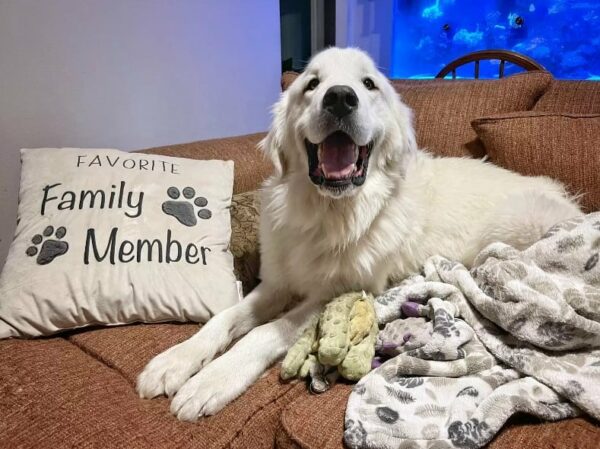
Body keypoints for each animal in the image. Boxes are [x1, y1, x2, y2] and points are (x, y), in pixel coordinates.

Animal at [137, 48, 580, 420]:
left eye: (369, 84)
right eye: (311, 84)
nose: (339, 98)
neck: (330, 212)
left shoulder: (336, 293)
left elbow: (261, 333)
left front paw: (211, 381)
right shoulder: (279, 282)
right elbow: (224, 319)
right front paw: (175, 361)